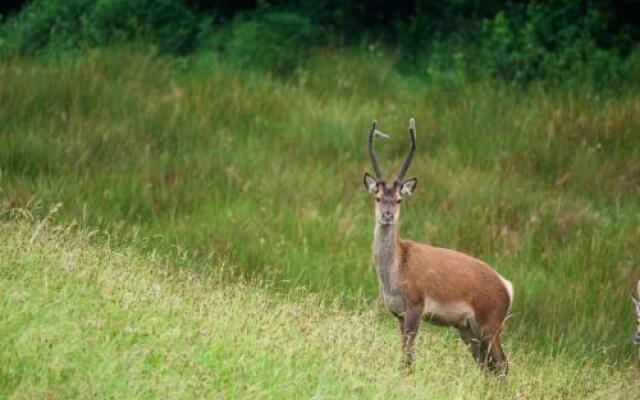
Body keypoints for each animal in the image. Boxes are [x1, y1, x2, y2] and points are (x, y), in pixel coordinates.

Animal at [362, 118, 512, 376]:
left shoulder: (416, 305)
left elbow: (409, 356)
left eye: (399, 200)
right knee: (487, 366)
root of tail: (509, 288)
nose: (387, 215)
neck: (396, 275)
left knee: (502, 365)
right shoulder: (398, 313)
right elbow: (404, 352)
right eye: (378, 197)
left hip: (490, 323)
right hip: (468, 329)